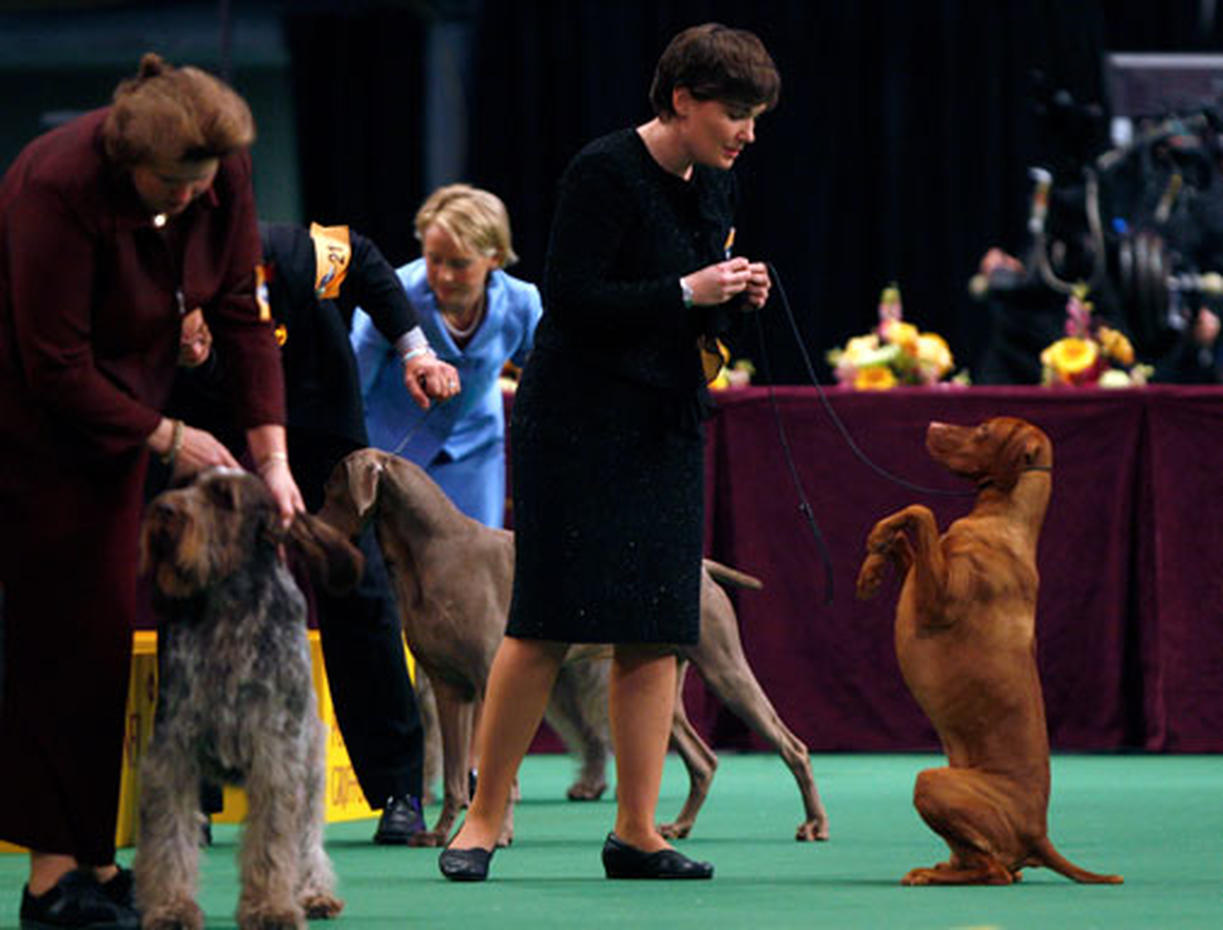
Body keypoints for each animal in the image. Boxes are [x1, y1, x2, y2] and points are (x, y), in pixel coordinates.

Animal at [137, 467, 362, 930]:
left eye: (224, 497)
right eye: (184, 482)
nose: (163, 510)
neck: (229, 608)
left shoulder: (277, 755)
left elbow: (273, 842)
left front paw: (270, 908)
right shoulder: (172, 752)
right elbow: (169, 839)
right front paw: (170, 907)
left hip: (310, 767)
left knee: (307, 840)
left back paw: (313, 894)